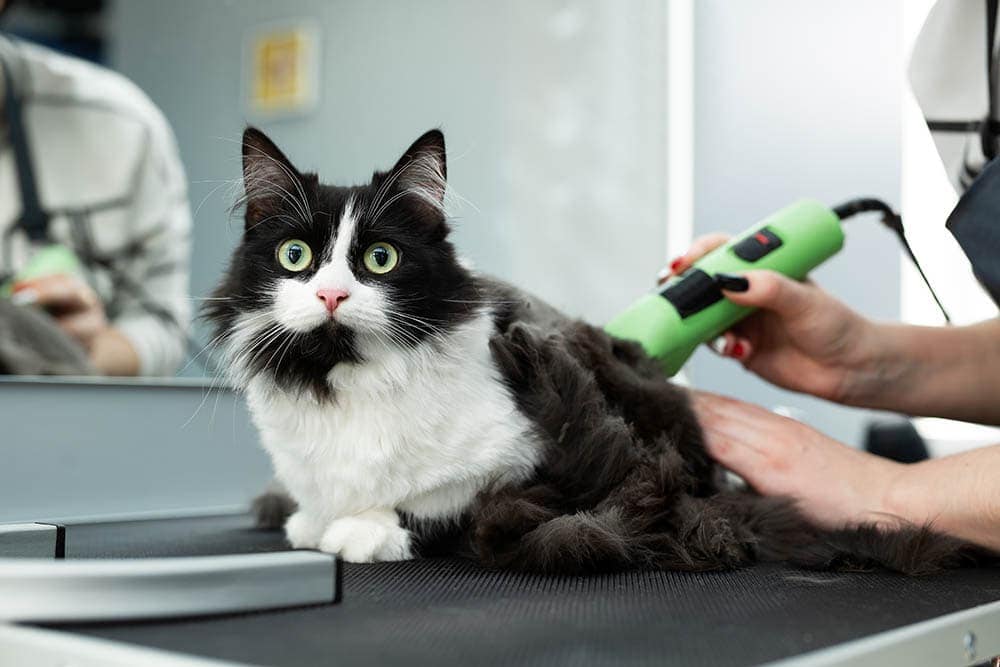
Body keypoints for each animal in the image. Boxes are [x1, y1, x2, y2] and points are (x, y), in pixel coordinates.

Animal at [209, 129, 984, 576]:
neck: (344, 379)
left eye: (379, 258)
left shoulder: (516, 470)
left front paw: (362, 530)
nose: (332, 295)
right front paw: (311, 520)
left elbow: (444, 512)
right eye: (296, 256)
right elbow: (315, 501)